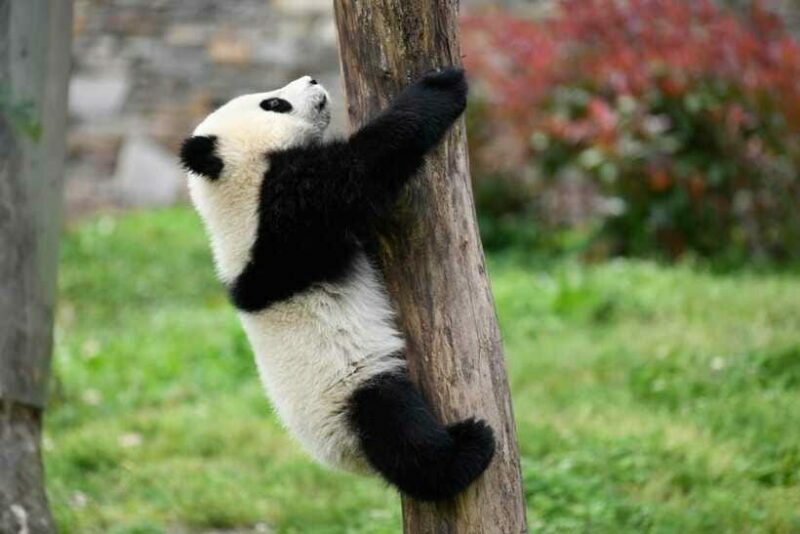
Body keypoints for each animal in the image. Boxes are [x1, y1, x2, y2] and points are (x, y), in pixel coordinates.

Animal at [179, 68, 495, 502]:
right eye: (274, 104)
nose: (312, 79)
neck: (232, 193)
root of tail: (343, 459)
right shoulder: (282, 213)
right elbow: (358, 168)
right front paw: (440, 86)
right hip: (349, 395)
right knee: (398, 428)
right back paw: (466, 451)